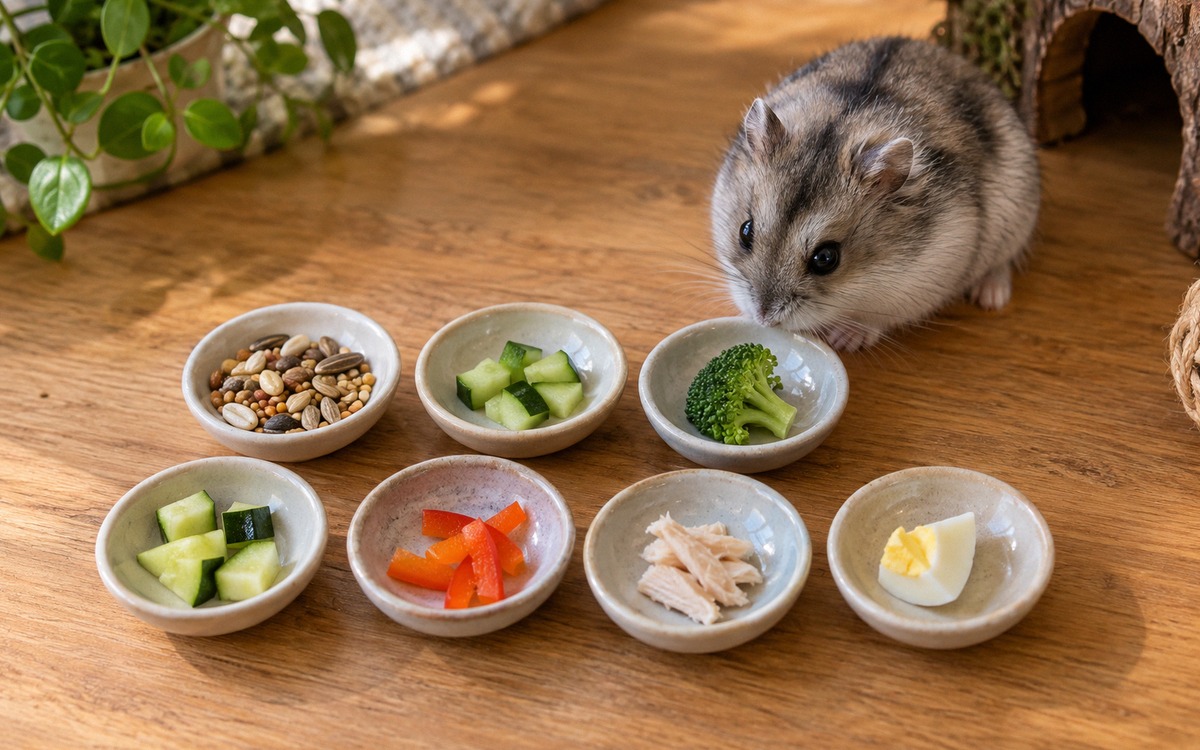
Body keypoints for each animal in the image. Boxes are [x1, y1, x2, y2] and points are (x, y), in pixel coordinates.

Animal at [711, 36, 1040, 351]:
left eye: (826, 258)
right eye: (745, 231)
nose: (763, 317)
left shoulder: (923, 279)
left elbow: (875, 318)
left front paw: (845, 339)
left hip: (1017, 218)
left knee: (1002, 262)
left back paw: (991, 296)